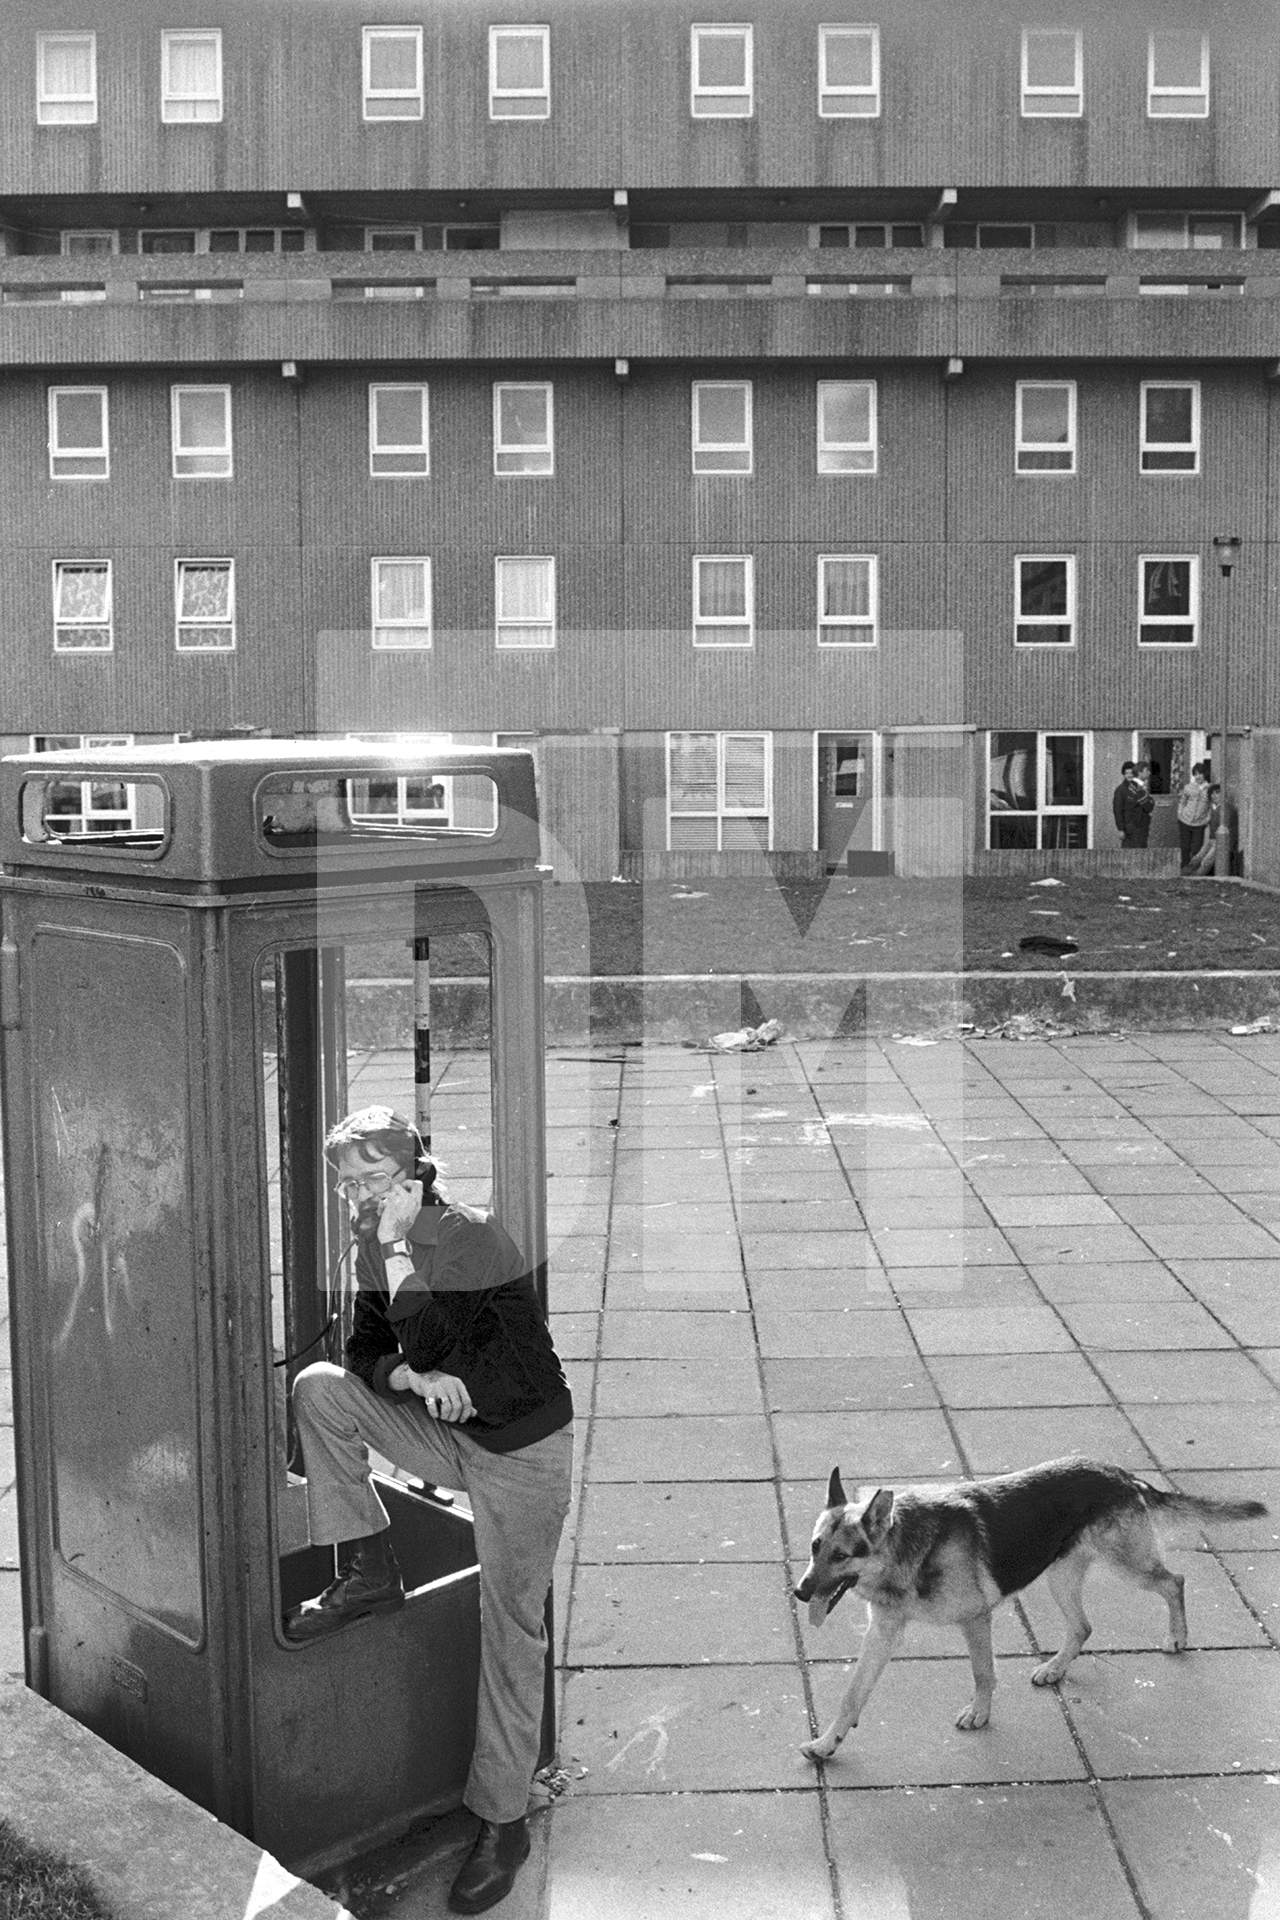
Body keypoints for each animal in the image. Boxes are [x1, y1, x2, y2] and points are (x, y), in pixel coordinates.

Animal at [794, 1451, 1266, 1758]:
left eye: (841, 1556)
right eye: (815, 1547)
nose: (799, 1592)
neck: (906, 1548)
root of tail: (1121, 1474)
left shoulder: (975, 1619)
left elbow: (983, 1673)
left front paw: (980, 1714)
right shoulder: (883, 1632)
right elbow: (852, 1695)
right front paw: (828, 1743)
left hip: (1128, 1567)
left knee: (1174, 1581)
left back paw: (1177, 1636)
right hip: (1060, 1578)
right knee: (1082, 1627)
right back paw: (1055, 1668)